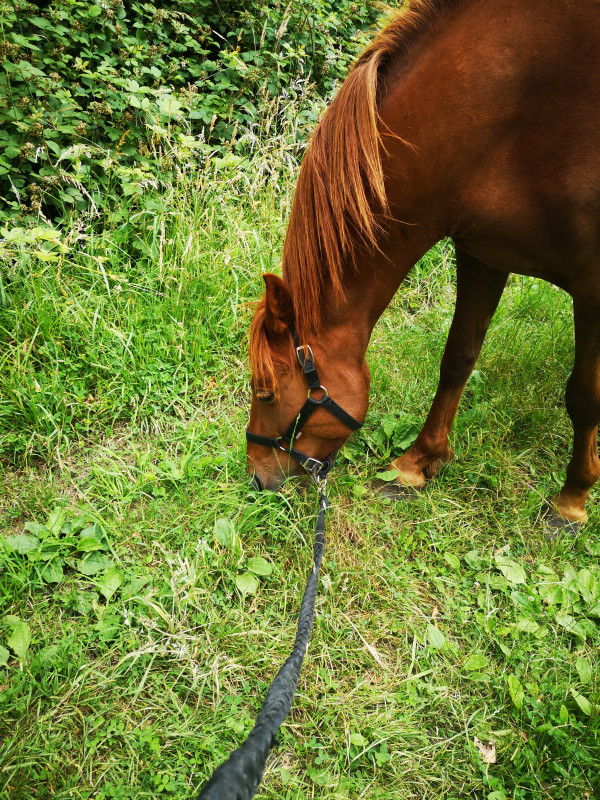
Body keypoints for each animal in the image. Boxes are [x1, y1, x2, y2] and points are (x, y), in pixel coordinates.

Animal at [246, 0, 600, 531]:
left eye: (266, 393)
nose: (255, 477)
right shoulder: (483, 253)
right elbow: (457, 358)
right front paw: (415, 466)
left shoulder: (593, 288)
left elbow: (584, 395)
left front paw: (572, 499)